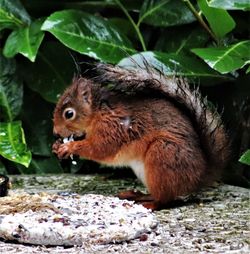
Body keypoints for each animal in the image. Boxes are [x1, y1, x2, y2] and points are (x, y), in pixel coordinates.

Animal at [53, 62, 230, 209]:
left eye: (69, 114)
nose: (55, 132)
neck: (99, 111)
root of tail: (201, 176)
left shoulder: (113, 128)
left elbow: (100, 148)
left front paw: (69, 146)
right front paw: (56, 146)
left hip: (162, 155)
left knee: (165, 199)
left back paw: (149, 204)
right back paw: (136, 195)